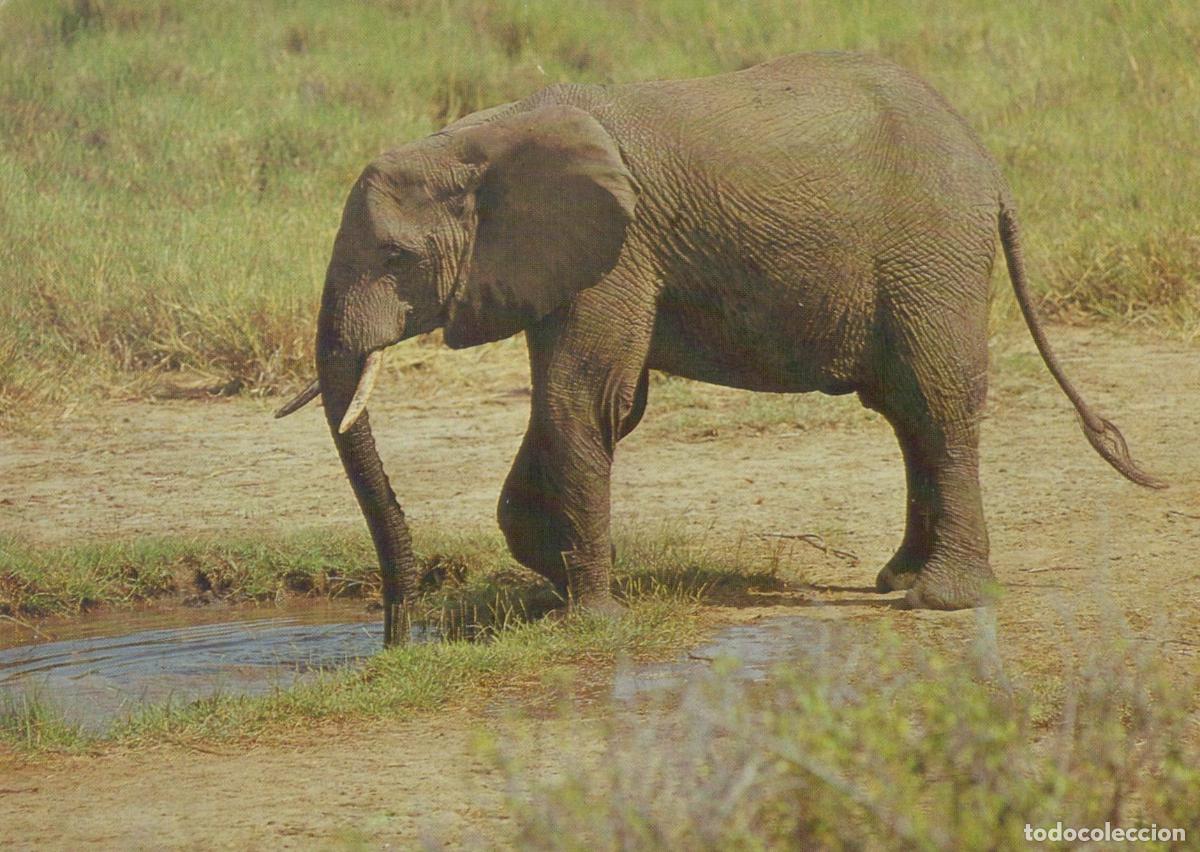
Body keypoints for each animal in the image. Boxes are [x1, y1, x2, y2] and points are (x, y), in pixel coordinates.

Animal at [276, 52, 1162, 644]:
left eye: (396, 259)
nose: (393, 641)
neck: (482, 134)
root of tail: (990, 168)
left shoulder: (619, 252)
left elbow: (582, 397)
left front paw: (587, 619)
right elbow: (591, 401)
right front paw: (552, 579)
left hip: (932, 252)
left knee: (937, 402)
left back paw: (940, 601)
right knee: (907, 411)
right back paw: (898, 579)